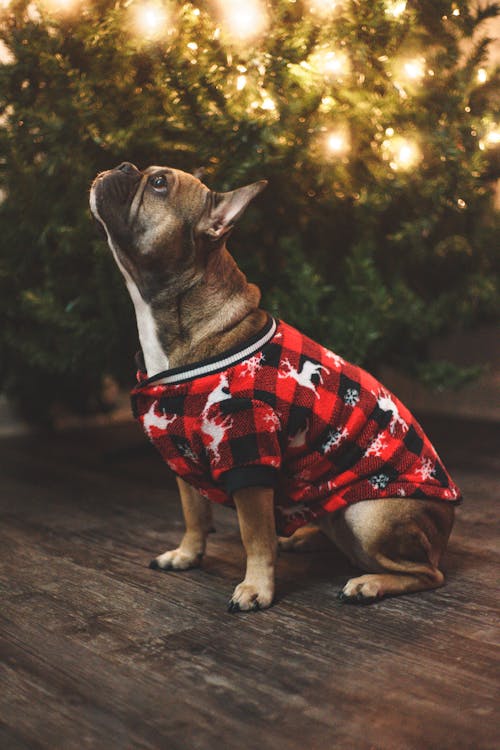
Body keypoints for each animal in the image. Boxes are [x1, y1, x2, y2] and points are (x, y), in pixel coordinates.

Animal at [91, 163, 460, 612]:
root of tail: (447, 524)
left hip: (369, 516)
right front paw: (186, 554)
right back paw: (304, 537)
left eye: (159, 183)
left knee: (428, 574)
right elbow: (194, 514)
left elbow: (255, 536)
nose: (122, 165)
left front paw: (255, 588)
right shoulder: (181, 454)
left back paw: (369, 583)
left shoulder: (249, 457)